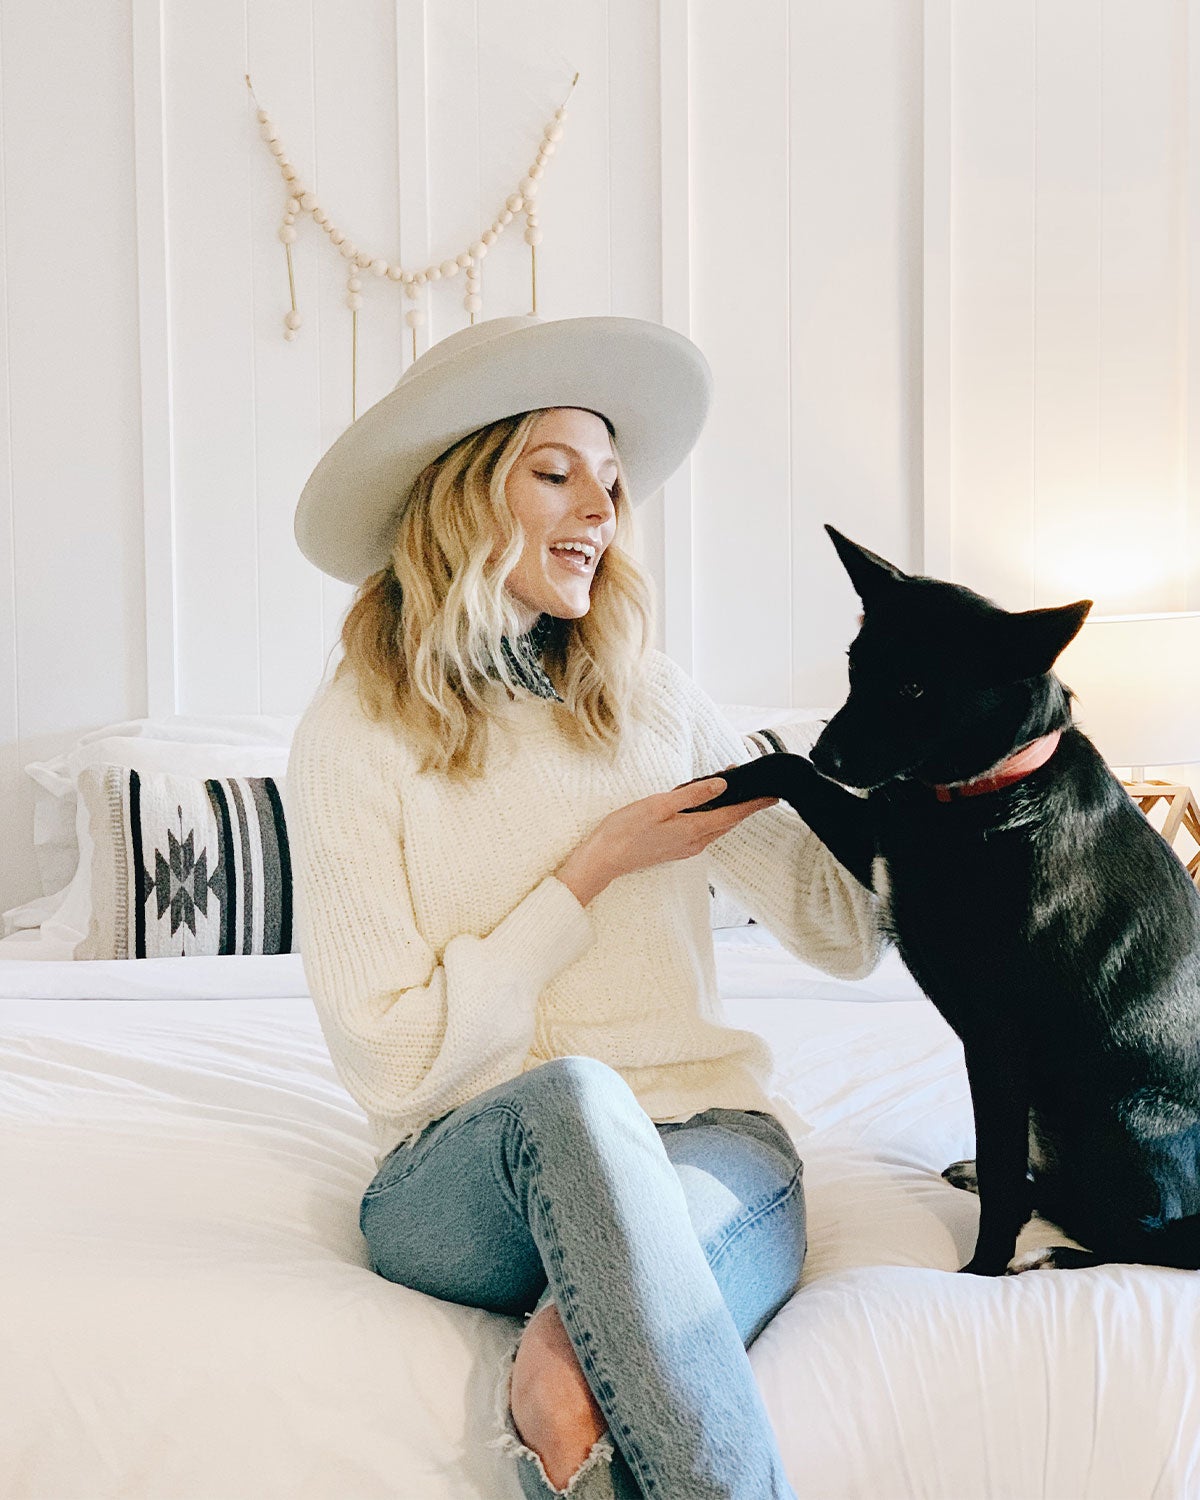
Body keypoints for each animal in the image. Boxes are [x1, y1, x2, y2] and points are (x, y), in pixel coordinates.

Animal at [681, 528, 1200, 1278]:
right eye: (855, 665)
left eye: (915, 686)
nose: (829, 751)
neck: (988, 794)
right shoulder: (879, 843)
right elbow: (785, 767)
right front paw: (711, 788)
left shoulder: (996, 1040)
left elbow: (1003, 1168)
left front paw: (982, 1273)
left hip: (1109, 1118)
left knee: (1150, 1240)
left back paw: (1054, 1254)